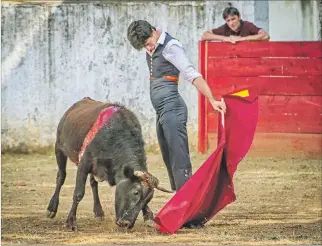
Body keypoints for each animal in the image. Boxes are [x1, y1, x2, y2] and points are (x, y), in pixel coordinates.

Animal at [46, 97, 172, 231]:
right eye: (135, 192)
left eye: (147, 200)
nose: (126, 223)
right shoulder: (84, 163)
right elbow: (79, 193)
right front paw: (71, 221)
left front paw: (148, 216)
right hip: (59, 148)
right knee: (61, 176)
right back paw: (51, 208)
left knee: (93, 182)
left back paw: (98, 212)